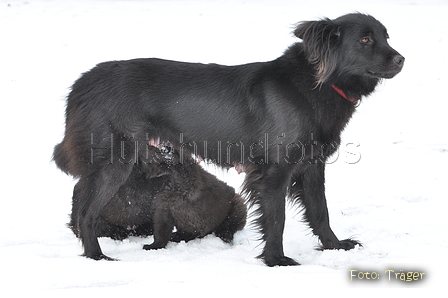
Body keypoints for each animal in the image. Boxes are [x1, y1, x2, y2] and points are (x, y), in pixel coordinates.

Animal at [68, 146, 247, 253]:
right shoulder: (162, 207)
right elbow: (161, 228)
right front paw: (152, 245)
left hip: (238, 203)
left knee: (230, 224)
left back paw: (224, 234)